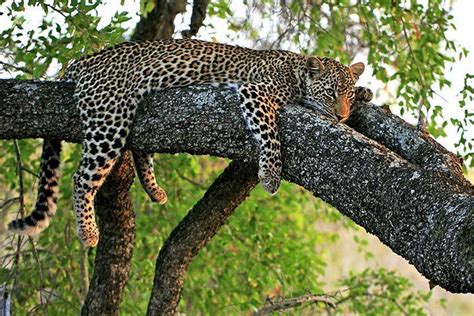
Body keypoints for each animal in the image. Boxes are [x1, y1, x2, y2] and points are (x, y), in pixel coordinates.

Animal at [6, 39, 370, 247]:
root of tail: (81, 61)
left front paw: (367, 93)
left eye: (347, 95)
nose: (341, 116)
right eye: (330, 92)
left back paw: (154, 190)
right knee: (81, 177)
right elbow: (269, 134)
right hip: (110, 118)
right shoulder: (254, 92)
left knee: (138, 150)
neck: (296, 70)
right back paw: (88, 232)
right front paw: (270, 175)